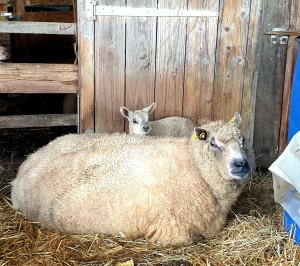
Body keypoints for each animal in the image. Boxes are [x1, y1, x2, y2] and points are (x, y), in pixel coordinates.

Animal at [10, 115, 252, 246]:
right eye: (213, 143)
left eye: (243, 140)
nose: (241, 164)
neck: (193, 165)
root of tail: (31, 159)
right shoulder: (170, 231)